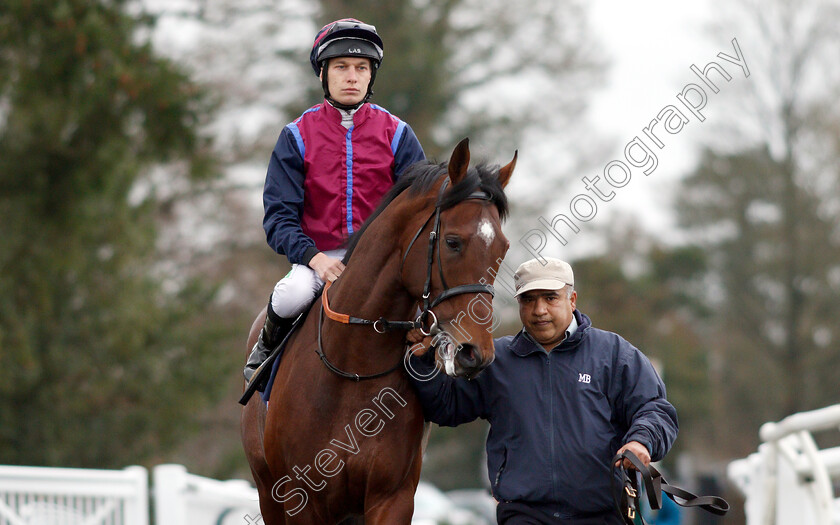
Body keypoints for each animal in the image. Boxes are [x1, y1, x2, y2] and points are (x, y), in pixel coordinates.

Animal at [241, 137, 520, 520]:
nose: (475, 353)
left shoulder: (392, 497)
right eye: (452, 242)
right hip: (268, 493)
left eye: (503, 247)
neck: (354, 368)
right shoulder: (302, 497)